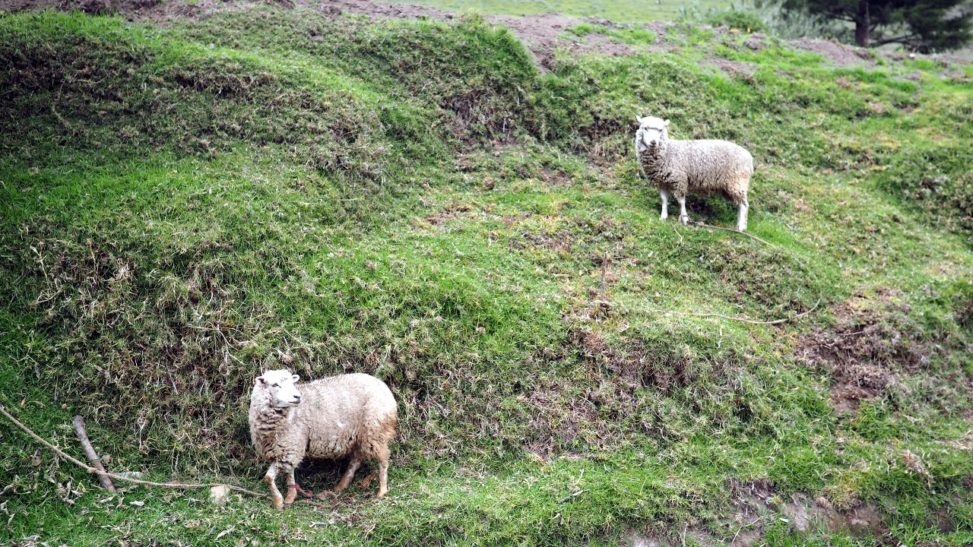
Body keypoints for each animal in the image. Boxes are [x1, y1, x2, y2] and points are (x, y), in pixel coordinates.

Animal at [248, 369, 398, 509]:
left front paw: (278, 501)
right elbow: (286, 474)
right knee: (356, 460)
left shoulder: (291, 446)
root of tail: (384, 388)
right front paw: (290, 497)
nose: (297, 397)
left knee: (383, 459)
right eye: (275, 385)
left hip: (375, 430)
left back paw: (382, 490)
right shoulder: (288, 447)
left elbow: (268, 478)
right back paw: (341, 485)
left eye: (292, 383)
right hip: (361, 435)